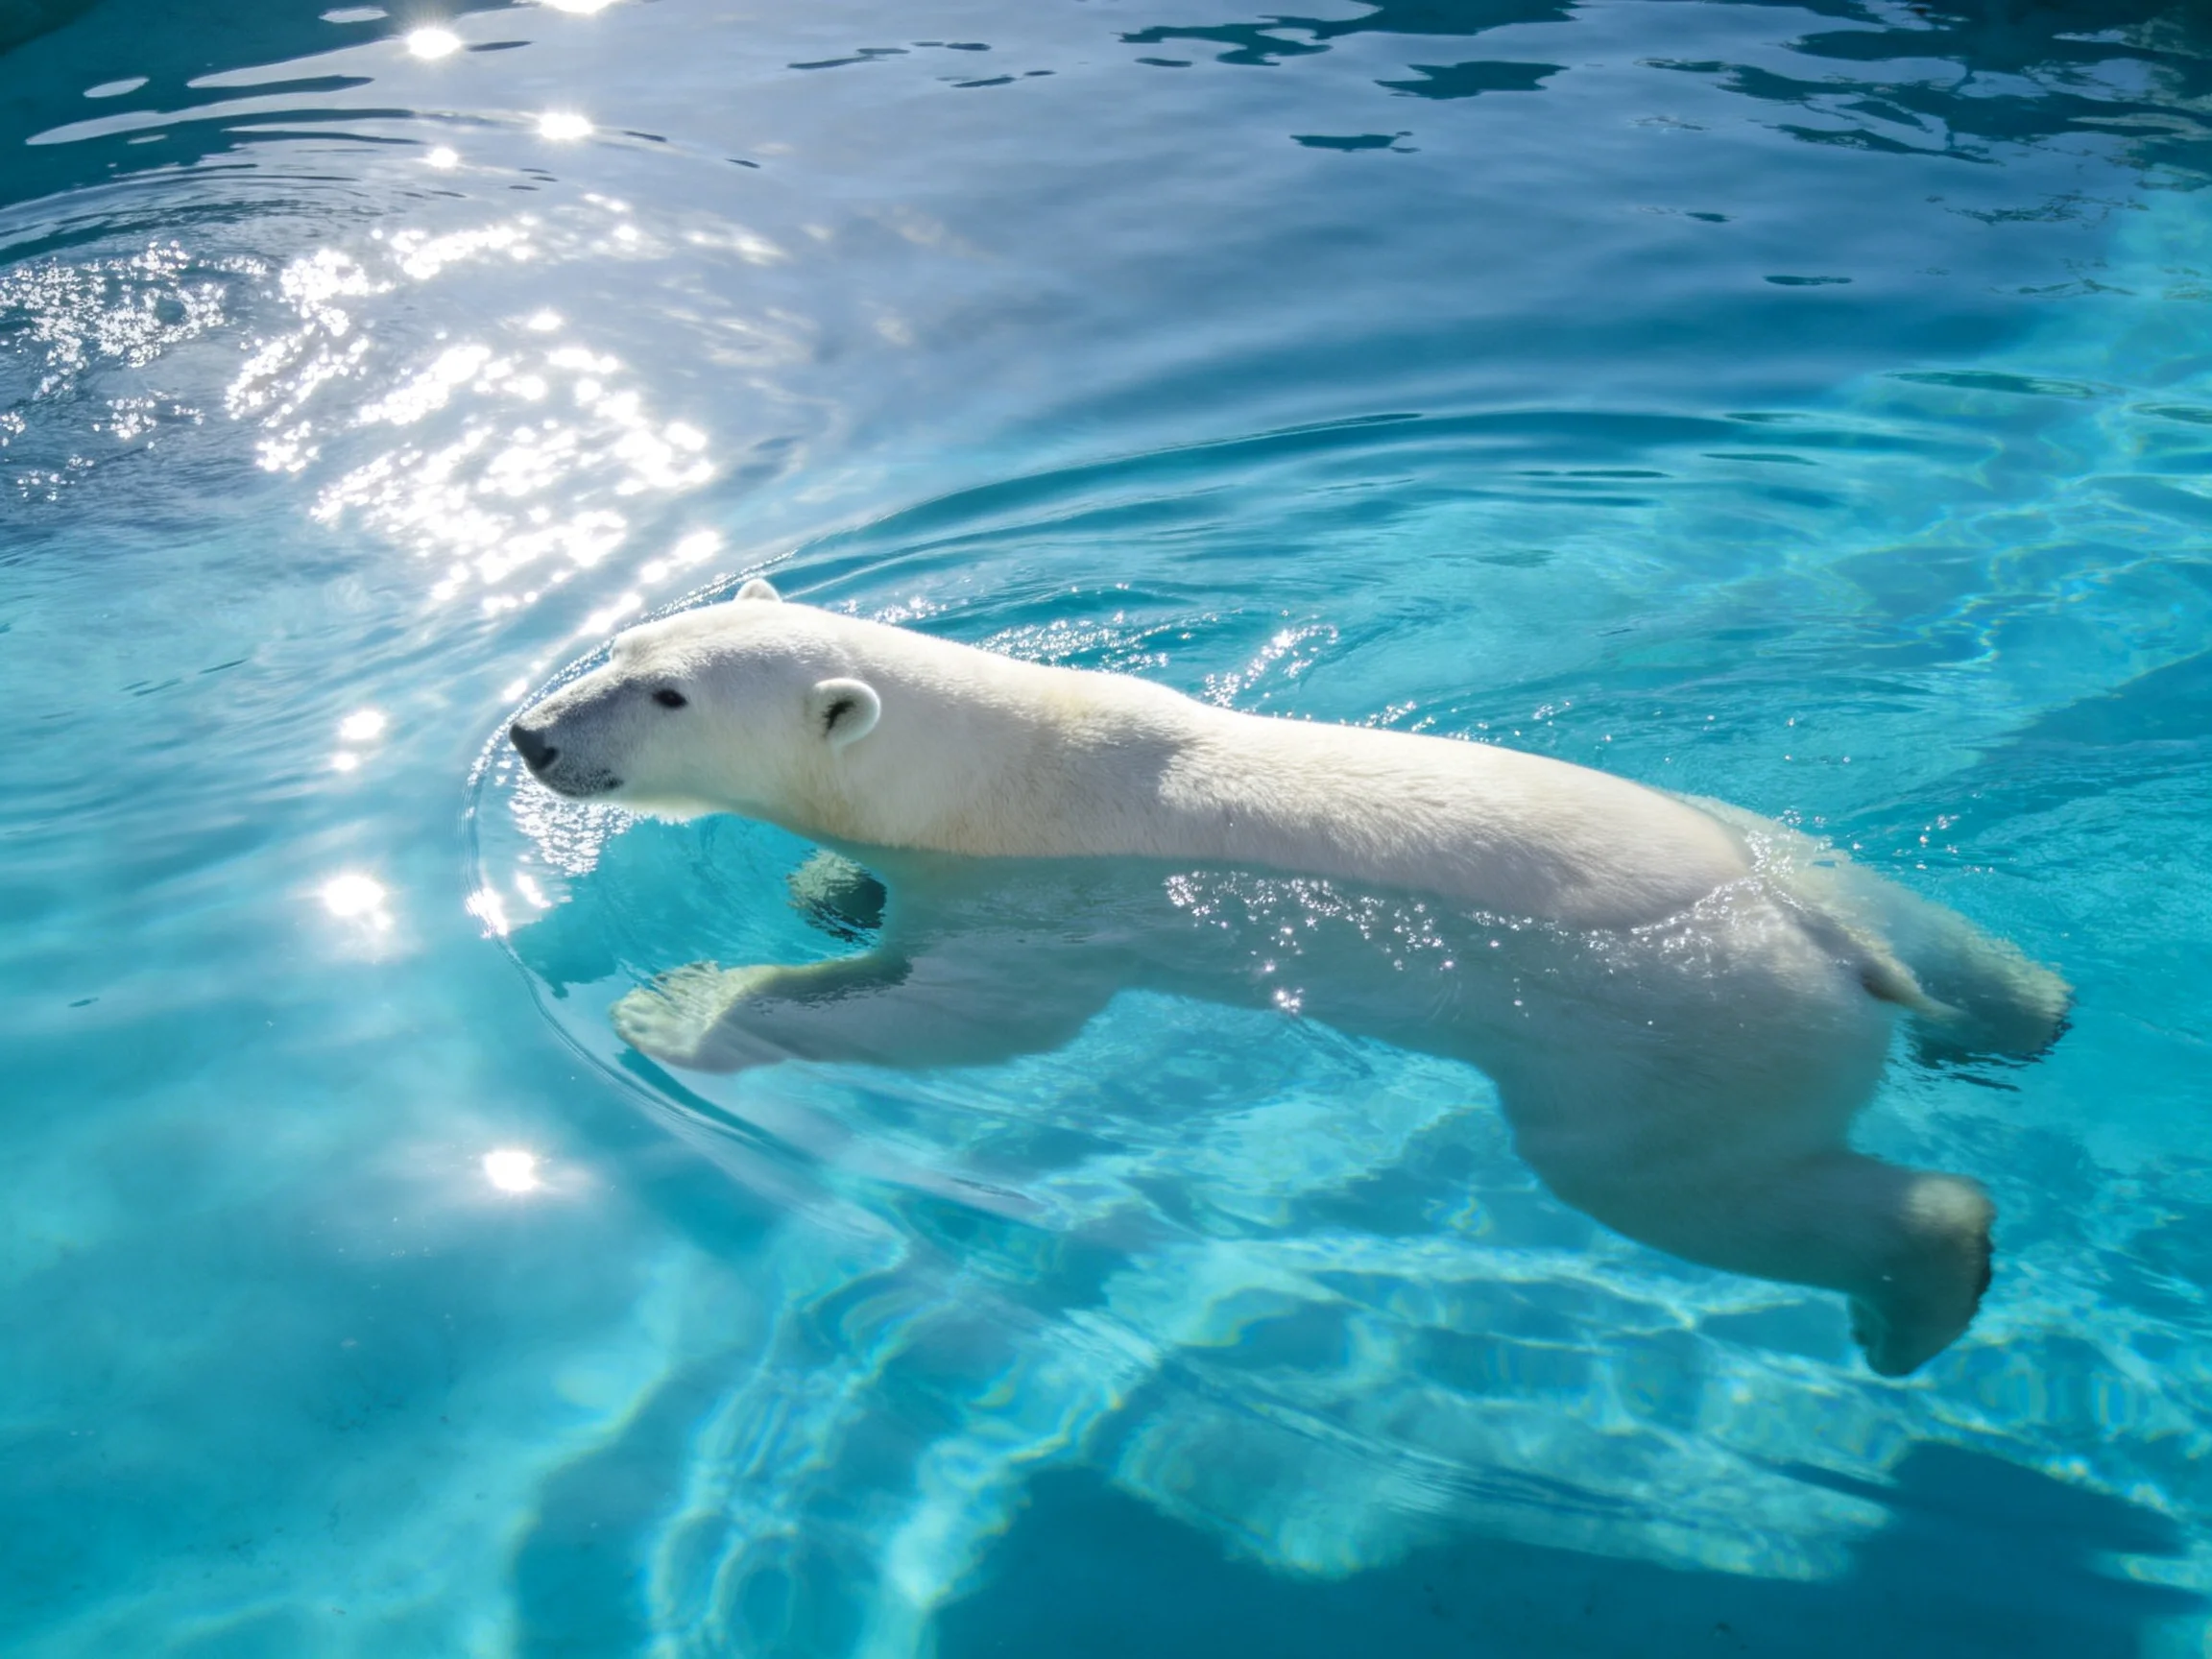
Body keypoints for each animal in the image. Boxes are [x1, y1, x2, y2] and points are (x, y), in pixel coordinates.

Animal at [507, 578, 2071, 1376]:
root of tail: (1836, 958)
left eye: (668, 697)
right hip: (1796, 855)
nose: (531, 735)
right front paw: (829, 893)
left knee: (1674, 1181)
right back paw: (2027, 1016)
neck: (1003, 754)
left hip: (1671, 1042)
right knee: (1937, 932)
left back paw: (1930, 1280)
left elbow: (969, 1019)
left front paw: (676, 1005)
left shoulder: (1051, 898)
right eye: (625, 643)